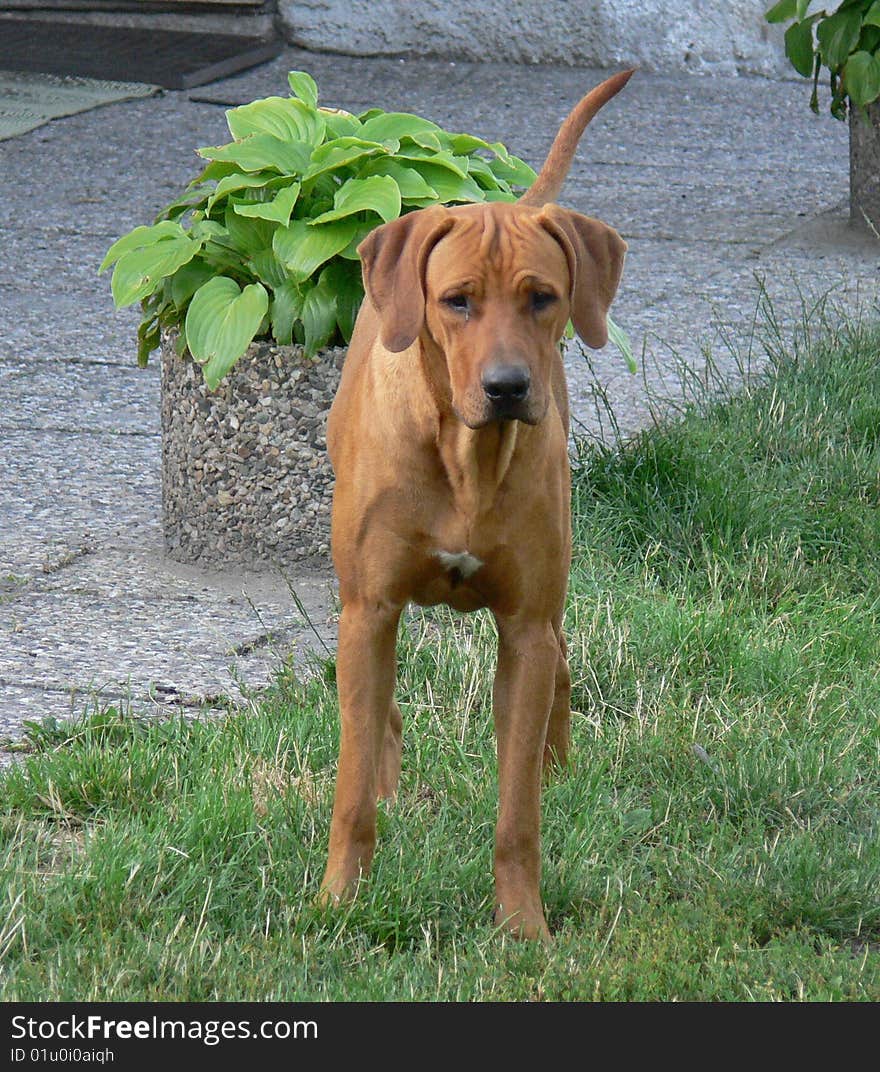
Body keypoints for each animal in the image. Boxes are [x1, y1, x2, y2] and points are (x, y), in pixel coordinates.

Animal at [315, 69, 630, 939]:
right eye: (456, 301)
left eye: (542, 297)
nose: (508, 387)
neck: (467, 458)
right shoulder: (371, 606)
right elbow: (350, 781)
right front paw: (340, 899)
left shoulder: (524, 624)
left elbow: (517, 811)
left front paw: (523, 926)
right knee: (375, 714)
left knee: (561, 664)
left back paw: (559, 769)